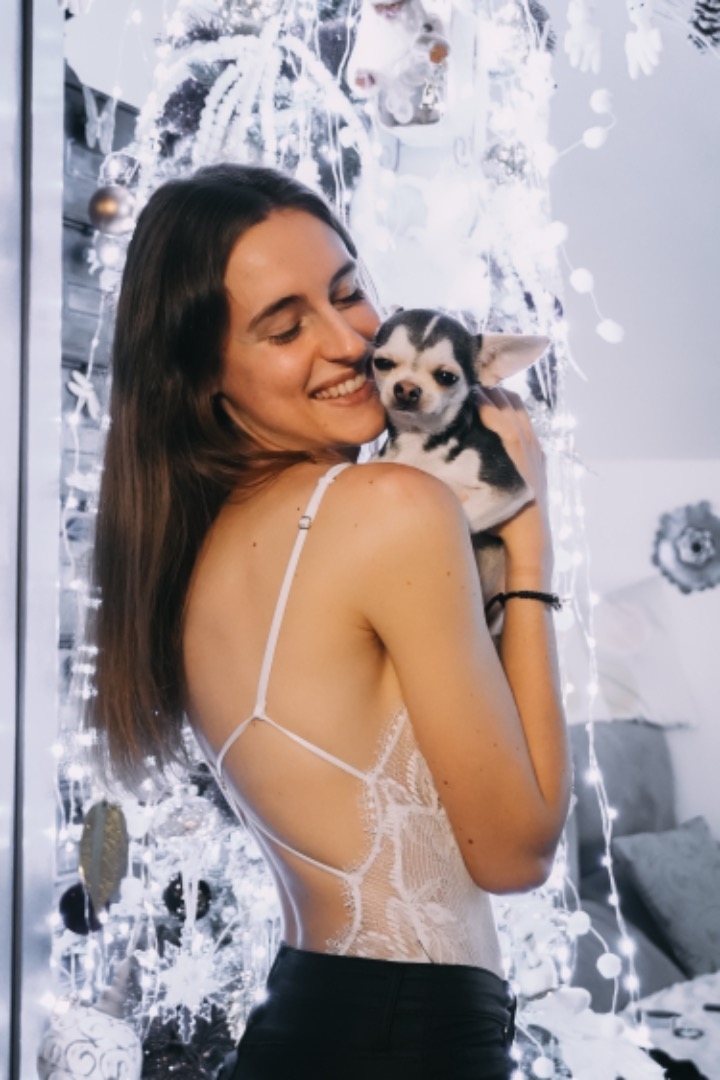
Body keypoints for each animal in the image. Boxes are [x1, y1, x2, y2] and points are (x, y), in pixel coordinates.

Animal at [371, 308, 549, 627]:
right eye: (383, 363)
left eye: (446, 377)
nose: (406, 388)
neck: (420, 442)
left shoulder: (508, 488)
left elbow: (462, 515)